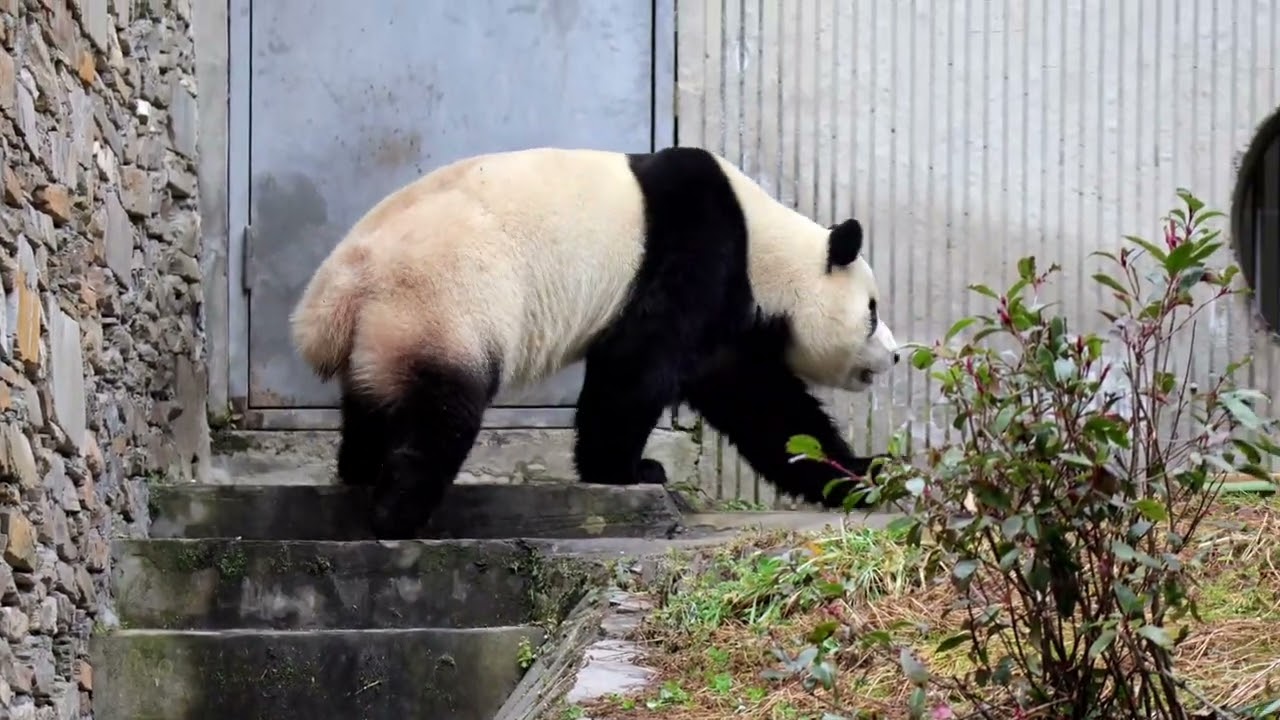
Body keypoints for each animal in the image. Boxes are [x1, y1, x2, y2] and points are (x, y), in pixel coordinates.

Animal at [290, 145, 901, 539]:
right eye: (872, 312)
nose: (895, 355)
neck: (765, 245)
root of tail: (339, 287)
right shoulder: (696, 249)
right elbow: (638, 366)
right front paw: (628, 472)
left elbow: (763, 406)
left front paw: (869, 472)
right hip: (443, 300)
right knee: (440, 411)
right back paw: (398, 514)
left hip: (386, 327)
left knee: (375, 402)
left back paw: (361, 471)